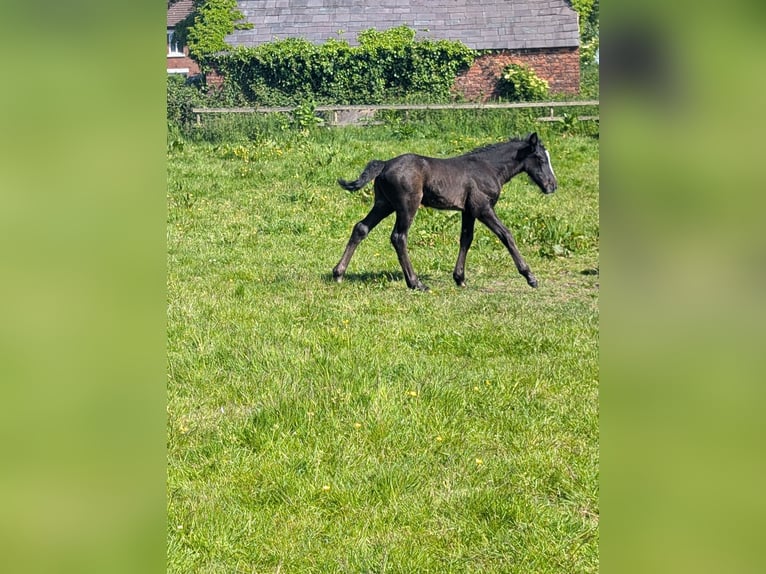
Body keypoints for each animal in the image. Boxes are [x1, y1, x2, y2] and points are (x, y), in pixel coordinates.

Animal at [332, 132, 558, 291]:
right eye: (540, 158)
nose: (552, 186)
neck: (488, 168)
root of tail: (385, 164)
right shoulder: (483, 208)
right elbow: (506, 235)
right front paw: (530, 277)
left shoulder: (468, 211)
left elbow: (466, 239)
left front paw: (460, 278)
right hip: (407, 206)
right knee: (399, 237)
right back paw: (415, 283)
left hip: (383, 204)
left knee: (361, 228)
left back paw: (338, 273)